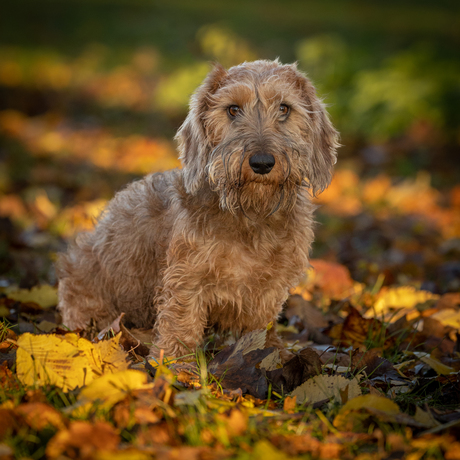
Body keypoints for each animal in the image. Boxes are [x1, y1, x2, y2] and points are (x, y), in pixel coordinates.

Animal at [56, 58, 338, 360]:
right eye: (233, 109)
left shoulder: (270, 286)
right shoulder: (186, 277)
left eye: (284, 108)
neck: (252, 216)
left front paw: (271, 352)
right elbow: (181, 324)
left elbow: (261, 326)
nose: (262, 162)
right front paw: (175, 365)